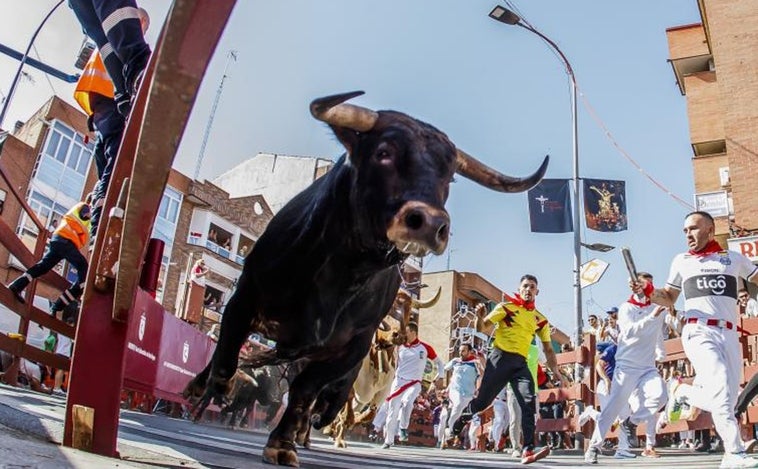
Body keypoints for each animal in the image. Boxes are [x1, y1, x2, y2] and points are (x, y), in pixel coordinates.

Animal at [186, 90, 548, 464]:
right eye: (383, 153)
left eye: (449, 176)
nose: (431, 223)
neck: (339, 274)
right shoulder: (245, 298)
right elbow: (227, 349)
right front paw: (219, 386)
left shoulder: (352, 347)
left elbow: (305, 391)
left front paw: (283, 443)